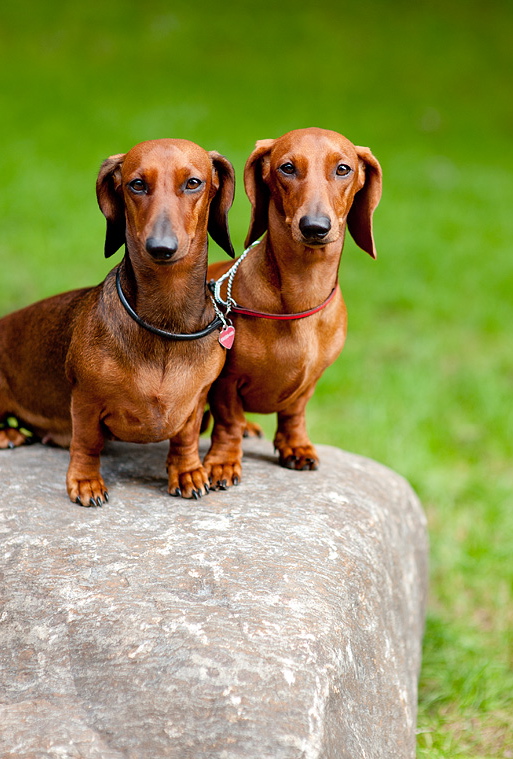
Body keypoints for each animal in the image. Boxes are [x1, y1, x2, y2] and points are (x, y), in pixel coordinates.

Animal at [0, 138, 234, 504]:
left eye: (193, 183)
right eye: (136, 184)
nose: (161, 247)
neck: (166, 325)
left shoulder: (197, 401)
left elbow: (186, 438)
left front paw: (187, 472)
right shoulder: (85, 400)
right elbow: (86, 442)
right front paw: (85, 481)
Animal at [204, 127, 380, 490]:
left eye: (343, 169)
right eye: (287, 168)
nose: (315, 226)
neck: (302, 297)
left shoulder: (309, 382)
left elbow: (293, 414)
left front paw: (295, 446)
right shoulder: (226, 382)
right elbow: (228, 422)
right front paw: (222, 462)